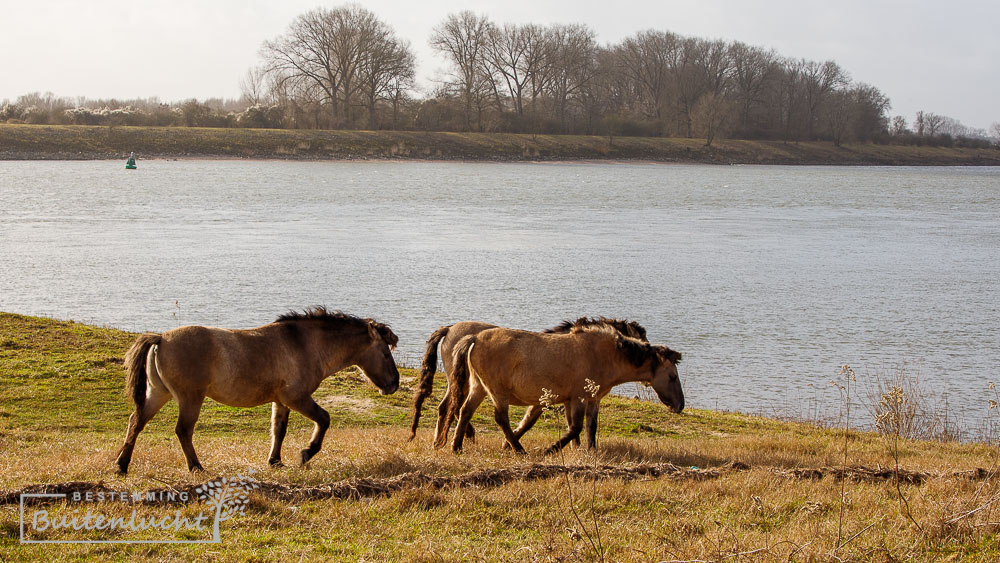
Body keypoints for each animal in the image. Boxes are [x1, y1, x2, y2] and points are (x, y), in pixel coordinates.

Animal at [115, 308, 400, 476]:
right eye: (385, 353)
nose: (394, 384)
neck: (306, 344)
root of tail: (161, 339)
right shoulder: (296, 398)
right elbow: (324, 419)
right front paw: (306, 453)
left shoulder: (281, 401)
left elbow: (279, 430)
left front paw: (275, 461)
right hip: (190, 398)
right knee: (183, 430)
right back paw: (196, 467)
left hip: (158, 394)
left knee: (136, 422)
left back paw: (121, 464)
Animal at [408, 318, 648, 450]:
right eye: (640, 336)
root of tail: (450, 329)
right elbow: (532, 422)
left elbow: (576, 423)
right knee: (457, 408)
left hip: (468, 384)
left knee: (452, 408)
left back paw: (448, 441)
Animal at [450, 324, 684, 456]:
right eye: (672, 376)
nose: (680, 405)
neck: (603, 355)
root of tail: (475, 338)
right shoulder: (578, 398)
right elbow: (575, 428)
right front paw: (550, 449)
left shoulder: (589, 399)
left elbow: (590, 426)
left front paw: (590, 451)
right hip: (498, 393)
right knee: (501, 420)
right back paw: (519, 450)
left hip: (478, 387)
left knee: (465, 412)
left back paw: (457, 447)